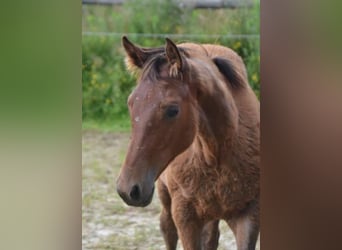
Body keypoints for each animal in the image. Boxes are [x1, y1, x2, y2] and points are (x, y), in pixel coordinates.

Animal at [116, 35, 260, 250]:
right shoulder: (185, 216)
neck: (215, 155)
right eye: (130, 103)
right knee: (168, 230)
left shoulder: (248, 215)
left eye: (173, 110)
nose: (127, 189)